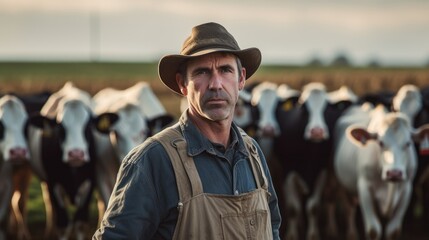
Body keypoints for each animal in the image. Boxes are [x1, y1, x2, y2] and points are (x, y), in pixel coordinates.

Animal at [27, 82, 115, 240]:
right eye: (61, 127)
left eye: (88, 126)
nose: (76, 154)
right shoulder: (53, 182)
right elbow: (63, 224)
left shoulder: (89, 183)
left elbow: (80, 222)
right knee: (50, 206)